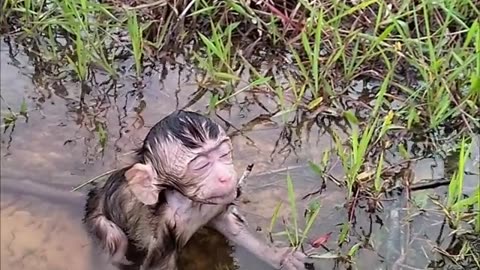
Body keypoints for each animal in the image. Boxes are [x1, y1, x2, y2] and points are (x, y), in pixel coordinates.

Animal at [83, 110, 308, 270]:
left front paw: (281, 257)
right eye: (201, 166)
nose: (226, 177)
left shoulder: (213, 203)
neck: (187, 202)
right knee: (116, 240)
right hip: (99, 218)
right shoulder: (164, 229)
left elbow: (228, 223)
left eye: (224, 154)